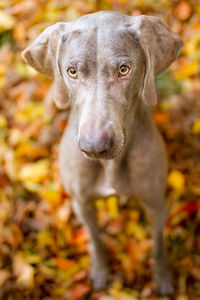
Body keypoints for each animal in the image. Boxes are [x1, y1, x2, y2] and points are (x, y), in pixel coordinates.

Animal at [21, 11, 183, 296]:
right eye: (72, 72)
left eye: (123, 69)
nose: (95, 147)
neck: (111, 166)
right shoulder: (80, 202)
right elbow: (95, 239)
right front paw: (98, 274)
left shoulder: (155, 202)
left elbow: (157, 244)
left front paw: (163, 279)